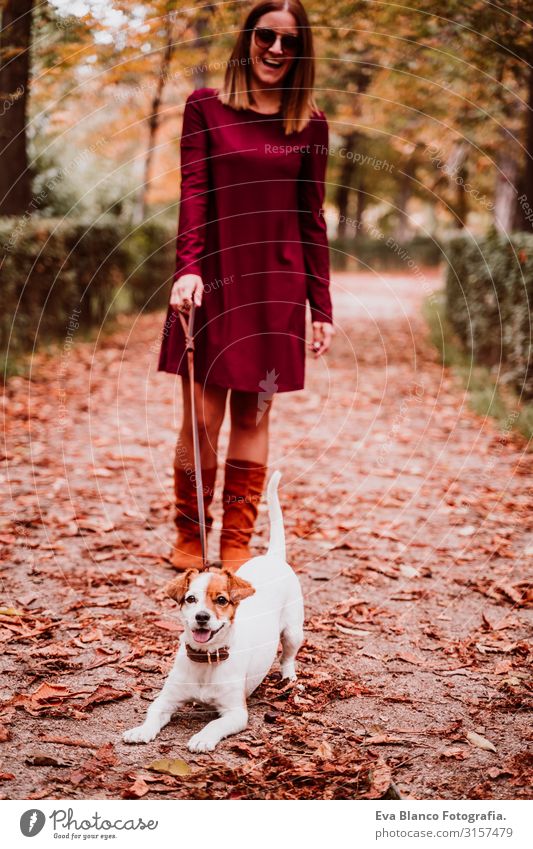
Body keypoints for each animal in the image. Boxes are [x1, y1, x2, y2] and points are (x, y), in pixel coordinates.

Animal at [121, 470, 304, 756]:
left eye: (221, 600)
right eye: (191, 599)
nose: (202, 617)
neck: (205, 660)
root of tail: (273, 557)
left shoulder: (235, 713)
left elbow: (214, 724)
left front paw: (202, 738)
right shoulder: (165, 700)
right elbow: (152, 715)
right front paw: (141, 730)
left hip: (294, 632)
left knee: (288, 657)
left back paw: (289, 677)